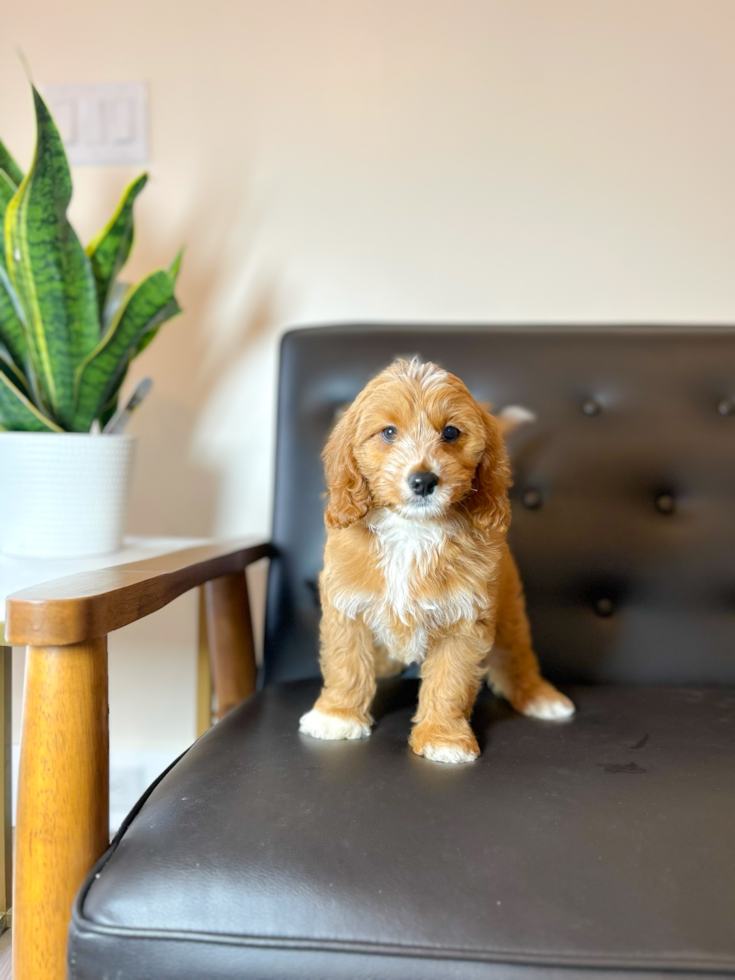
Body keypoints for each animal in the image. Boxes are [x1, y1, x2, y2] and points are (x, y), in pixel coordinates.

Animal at [300, 360, 576, 764]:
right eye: (388, 432)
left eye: (450, 432)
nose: (423, 481)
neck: (412, 530)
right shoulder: (346, 606)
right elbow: (346, 663)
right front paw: (337, 716)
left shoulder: (465, 617)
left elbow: (450, 682)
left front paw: (444, 739)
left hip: (508, 610)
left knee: (517, 656)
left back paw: (540, 697)